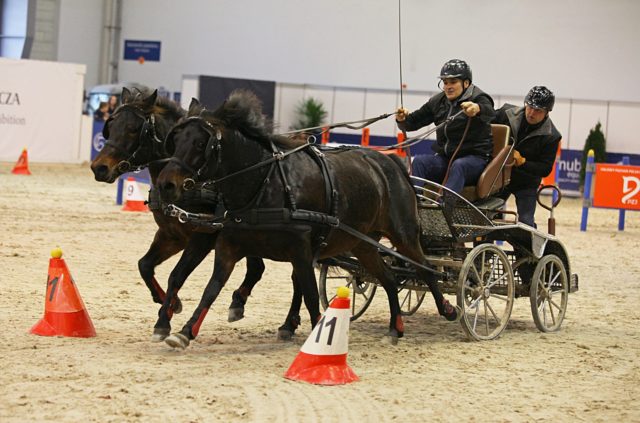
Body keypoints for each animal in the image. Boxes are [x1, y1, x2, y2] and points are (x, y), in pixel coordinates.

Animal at [89, 88, 278, 342]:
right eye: (111, 125)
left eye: (133, 128)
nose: (99, 168)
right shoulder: (172, 235)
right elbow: (145, 265)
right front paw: (169, 304)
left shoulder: (204, 236)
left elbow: (176, 274)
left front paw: (165, 318)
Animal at [154, 90, 456, 352]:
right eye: (175, 140)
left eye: (200, 143)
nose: (166, 185)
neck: (264, 183)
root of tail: (392, 163)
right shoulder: (228, 246)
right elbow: (210, 288)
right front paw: (184, 331)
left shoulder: (300, 250)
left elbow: (310, 293)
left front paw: (318, 337)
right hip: (362, 243)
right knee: (390, 278)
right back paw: (395, 328)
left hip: (403, 235)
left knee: (427, 270)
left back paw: (448, 309)